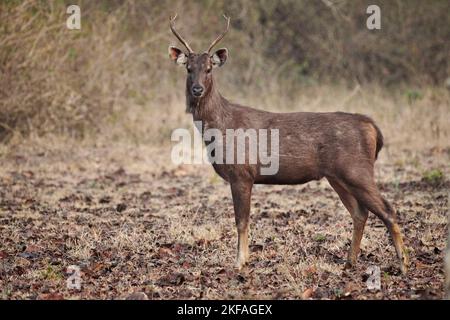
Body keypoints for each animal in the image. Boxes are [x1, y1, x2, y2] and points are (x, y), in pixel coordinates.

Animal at [168, 15, 408, 274]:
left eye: (209, 69)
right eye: (189, 69)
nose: (197, 89)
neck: (221, 128)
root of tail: (372, 127)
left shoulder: (242, 172)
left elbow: (241, 220)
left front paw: (240, 262)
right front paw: (244, 259)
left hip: (357, 169)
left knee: (388, 210)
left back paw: (403, 264)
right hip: (337, 175)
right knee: (360, 212)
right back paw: (350, 261)